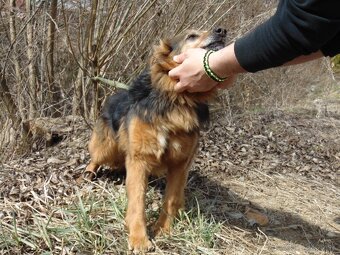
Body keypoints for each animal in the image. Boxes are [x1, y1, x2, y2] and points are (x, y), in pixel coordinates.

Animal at [84, 28, 227, 253]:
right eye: (192, 36)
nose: (221, 30)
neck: (177, 100)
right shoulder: (139, 160)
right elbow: (137, 202)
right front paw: (139, 238)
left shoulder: (179, 164)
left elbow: (170, 199)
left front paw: (163, 229)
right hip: (106, 148)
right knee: (95, 157)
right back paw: (88, 173)